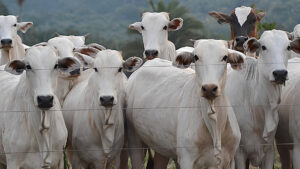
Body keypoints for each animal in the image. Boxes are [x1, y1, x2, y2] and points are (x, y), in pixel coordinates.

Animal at [126, 39, 244, 169]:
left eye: (225, 57)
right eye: (196, 57)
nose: (209, 88)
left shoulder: (229, 160)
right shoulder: (186, 159)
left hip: (161, 148)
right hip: (134, 141)